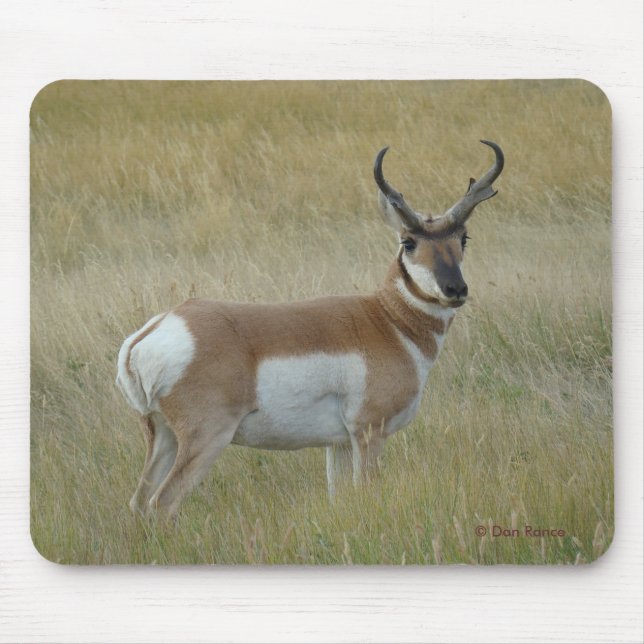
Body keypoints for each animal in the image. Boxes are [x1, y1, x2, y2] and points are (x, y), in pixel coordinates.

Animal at [116, 140, 504, 519]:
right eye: (408, 241)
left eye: (463, 238)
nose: (455, 289)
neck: (387, 321)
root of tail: (152, 333)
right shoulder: (369, 433)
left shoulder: (338, 443)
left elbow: (341, 497)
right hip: (206, 438)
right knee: (162, 503)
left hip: (163, 436)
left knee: (139, 502)